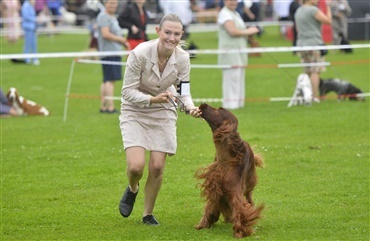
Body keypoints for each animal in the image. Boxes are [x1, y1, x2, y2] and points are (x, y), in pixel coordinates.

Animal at [195, 102, 264, 238]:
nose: (203, 104)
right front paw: (203, 224)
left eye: (219, 109)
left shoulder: (234, 192)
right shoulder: (215, 190)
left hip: (249, 182)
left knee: (249, 197)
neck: (225, 160)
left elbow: (241, 208)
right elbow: (209, 206)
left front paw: (240, 230)